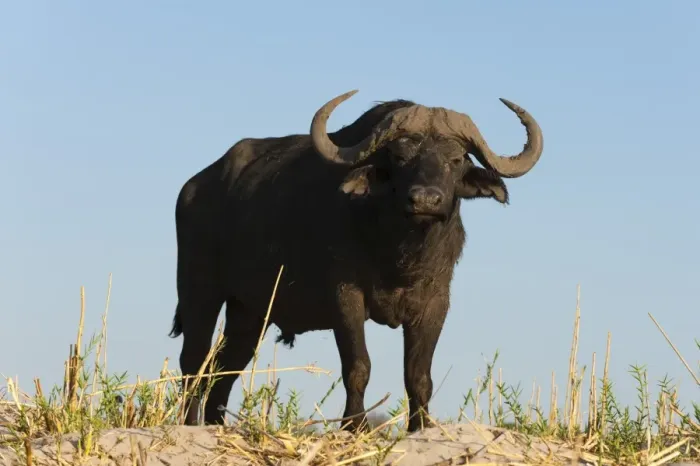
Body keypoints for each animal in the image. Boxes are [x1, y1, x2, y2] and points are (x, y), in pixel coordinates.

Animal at [169, 90, 544, 432]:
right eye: (400, 157)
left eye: (456, 159)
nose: (425, 199)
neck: (398, 252)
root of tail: (193, 187)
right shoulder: (345, 297)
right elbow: (358, 366)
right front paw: (354, 424)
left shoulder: (434, 302)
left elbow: (418, 374)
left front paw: (421, 426)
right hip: (198, 291)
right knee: (194, 361)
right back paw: (189, 423)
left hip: (249, 312)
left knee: (225, 368)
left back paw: (215, 425)